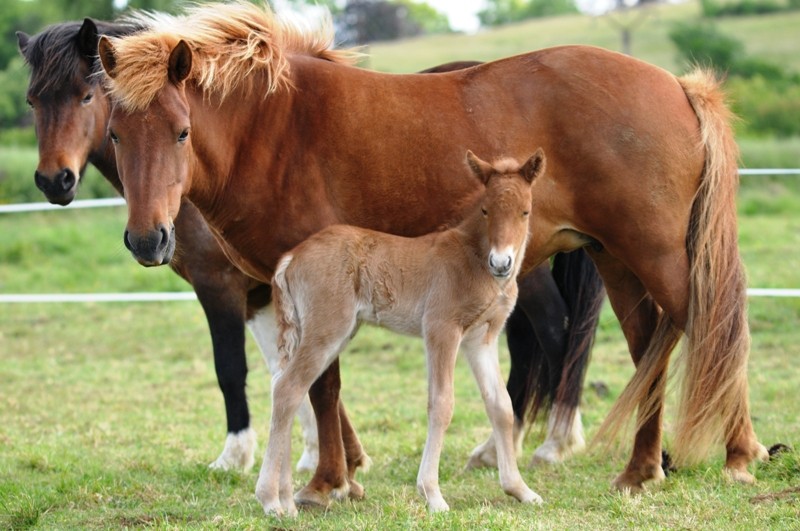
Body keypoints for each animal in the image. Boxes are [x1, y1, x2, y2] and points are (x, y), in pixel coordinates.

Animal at [15, 13, 604, 486]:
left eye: (85, 96)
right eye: (33, 100)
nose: (53, 181)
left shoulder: (220, 287)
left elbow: (240, 368)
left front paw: (241, 457)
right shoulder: (262, 291)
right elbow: (289, 369)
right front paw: (330, 456)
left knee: (554, 331)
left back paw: (555, 441)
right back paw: (504, 445)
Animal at [97, 0, 764, 510]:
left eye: (182, 132)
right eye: (116, 134)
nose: (148, 240)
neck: (275, 127)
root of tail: (677, 85)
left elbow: (322, 386)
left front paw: (324, 484)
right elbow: (313, 386)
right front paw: (337, 478)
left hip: (654, 254)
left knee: (715, 330)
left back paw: (738, 455)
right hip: (616, 258)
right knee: (650, 343)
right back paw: (641, 469)